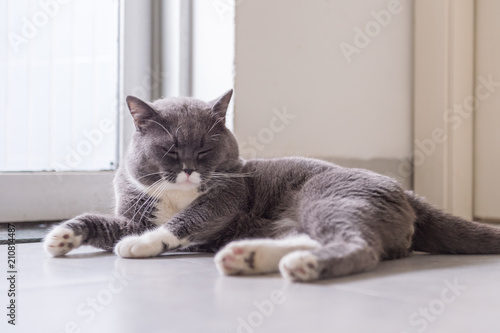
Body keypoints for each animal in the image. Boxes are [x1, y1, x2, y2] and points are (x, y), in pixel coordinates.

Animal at [44, 90, 500, 280]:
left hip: (328, 198)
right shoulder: (136, 211)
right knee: (315, 237)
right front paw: (60, 237)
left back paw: (301, 267)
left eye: (205, 149)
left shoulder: (225, 199)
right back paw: (246, 257)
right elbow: (102, 222)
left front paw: (141, 244)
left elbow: (187, 221)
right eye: (172, 151)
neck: (177, 194)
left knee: (359, 245)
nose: (189, 169)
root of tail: (405, 190)